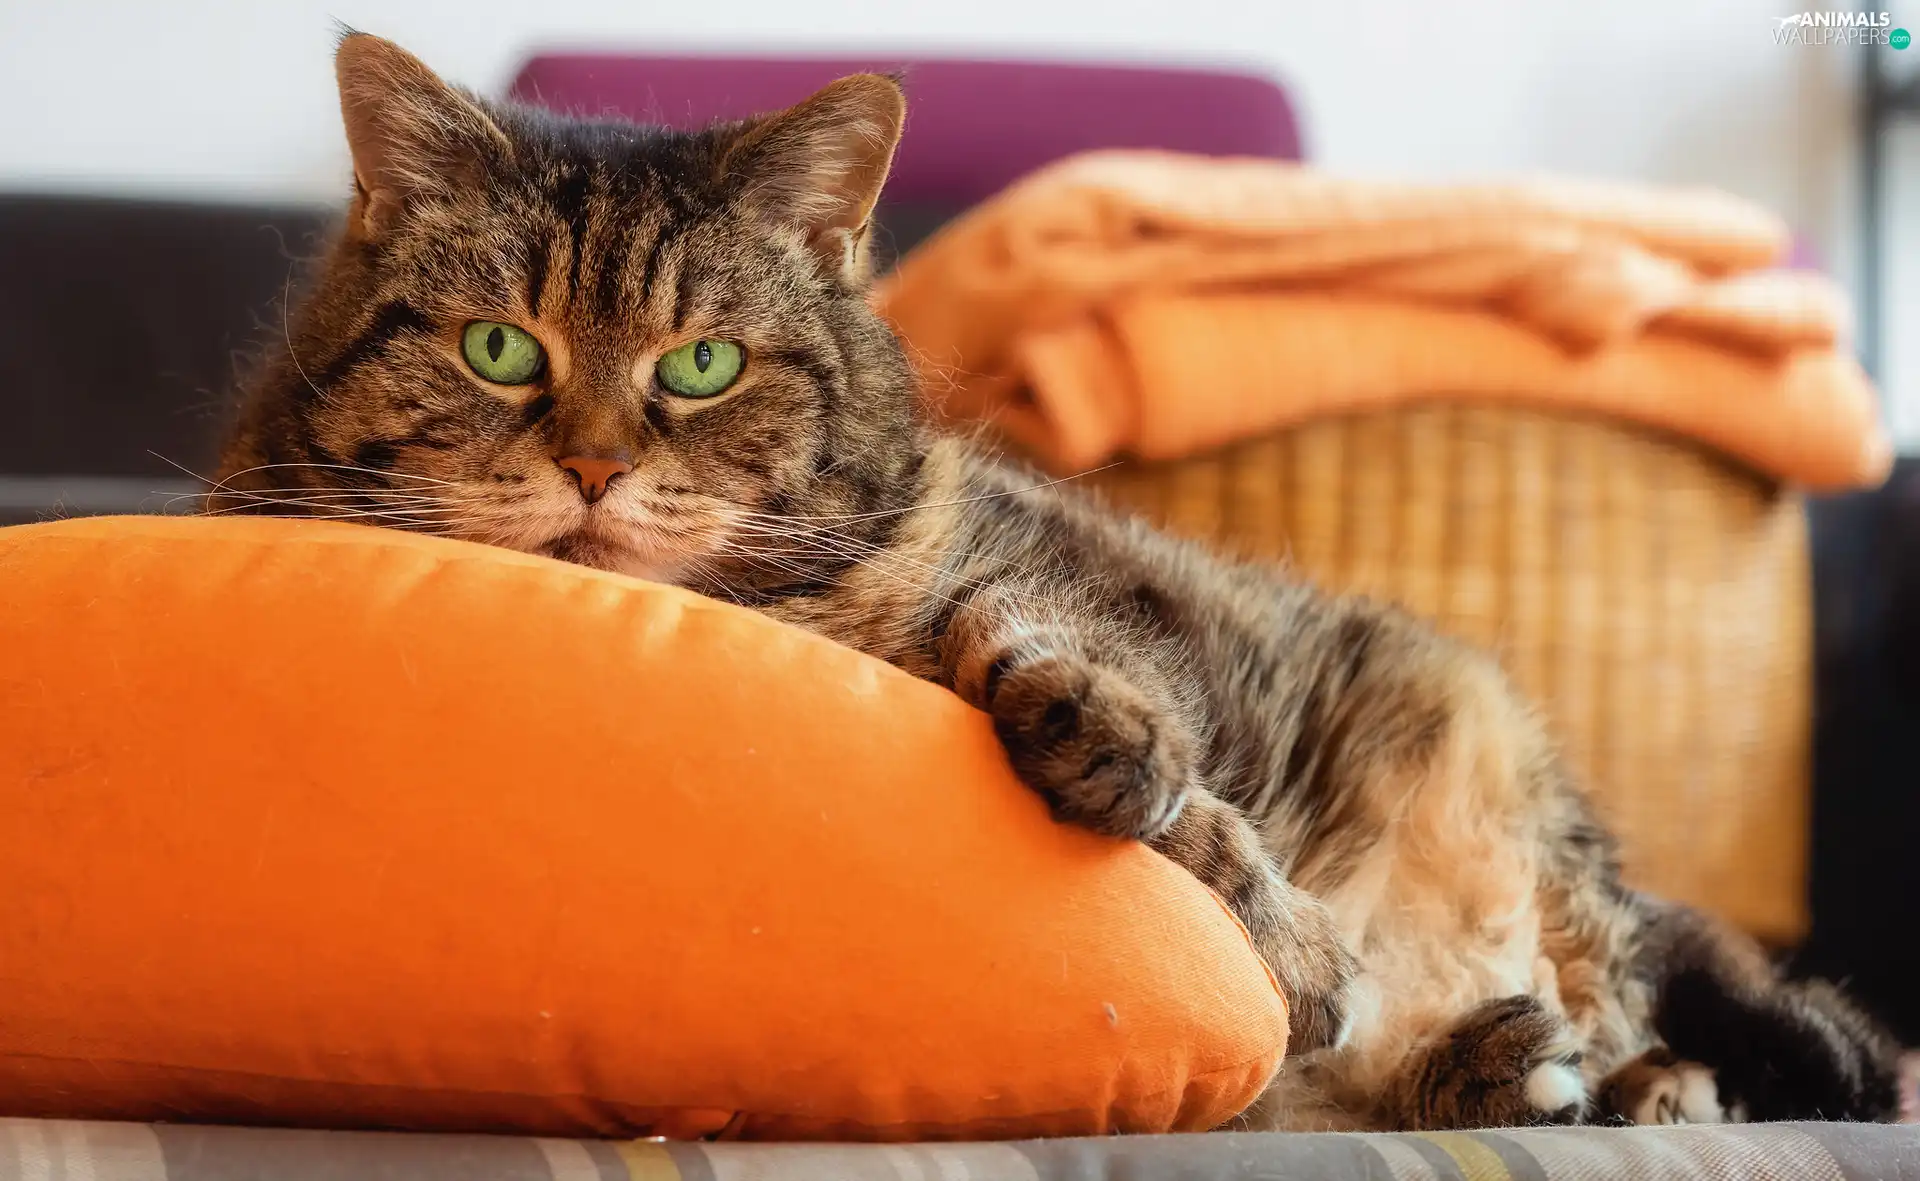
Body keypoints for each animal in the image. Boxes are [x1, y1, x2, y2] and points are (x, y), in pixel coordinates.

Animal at [210, 32, 1904, 1129]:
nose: (592, 466)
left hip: (1525, 812)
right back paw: (1518, 1069)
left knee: (1661, 993)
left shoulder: (1056, 579)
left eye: (700, 366)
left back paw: (1637, 1078)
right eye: (503, 348)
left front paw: (1199, 834)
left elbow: (1063, 671)